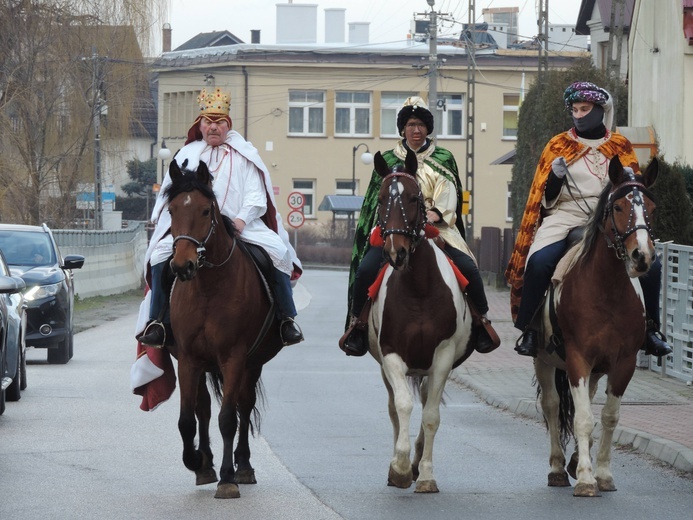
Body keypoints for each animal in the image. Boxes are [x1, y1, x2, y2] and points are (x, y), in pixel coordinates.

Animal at [165, 159, 284, 500]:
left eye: (206, 210)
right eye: (171, 210)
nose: (183, 266)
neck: (209, 287)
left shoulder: (234, 358)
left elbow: (229, 418)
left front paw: (228, 478)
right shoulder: (188, 359)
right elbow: (186, 420)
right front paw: (195, 460)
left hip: (252, 364)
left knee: (244, 406)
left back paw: (242, 466)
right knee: (203, 408)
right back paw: (205, 464)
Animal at [364, 149, 474, 492]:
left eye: (414, 198)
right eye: (381, 198)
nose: (395, 253)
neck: (419, 290)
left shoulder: (443, 357)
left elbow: (431, 416)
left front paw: (424, 475)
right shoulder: (391, 356)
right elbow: (402, 407)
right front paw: (398, 469)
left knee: (427, 403)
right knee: (395, 408)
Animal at [536, 154, 660, 496]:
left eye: (651, 206)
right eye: (618, 207)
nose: (642, 256)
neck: (608, 290)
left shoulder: (623, 363)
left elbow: (608, 416)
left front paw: (601, 473)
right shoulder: (577, 359)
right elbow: (581, 419)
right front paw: (586, 478)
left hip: (595, 368)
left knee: (588, 403)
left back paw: (576, 459)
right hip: (544, 359)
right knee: (552, 406)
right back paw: (557, 468)